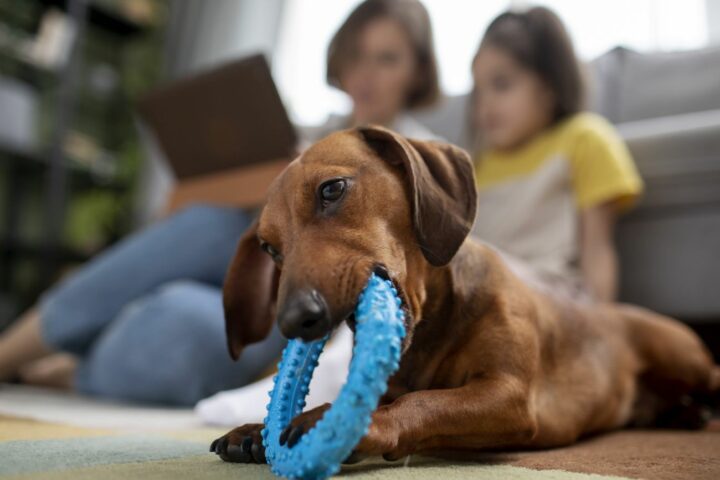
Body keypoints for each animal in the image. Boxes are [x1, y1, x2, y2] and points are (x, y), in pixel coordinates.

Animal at [211, 125, 716, 464]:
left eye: (332, 189)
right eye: (269, 248)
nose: (294, 320)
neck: (434, 325)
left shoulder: (509, 396)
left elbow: (423, 402)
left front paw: (341, 421)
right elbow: (400, 395)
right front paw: (256, 430)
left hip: (683, 359)